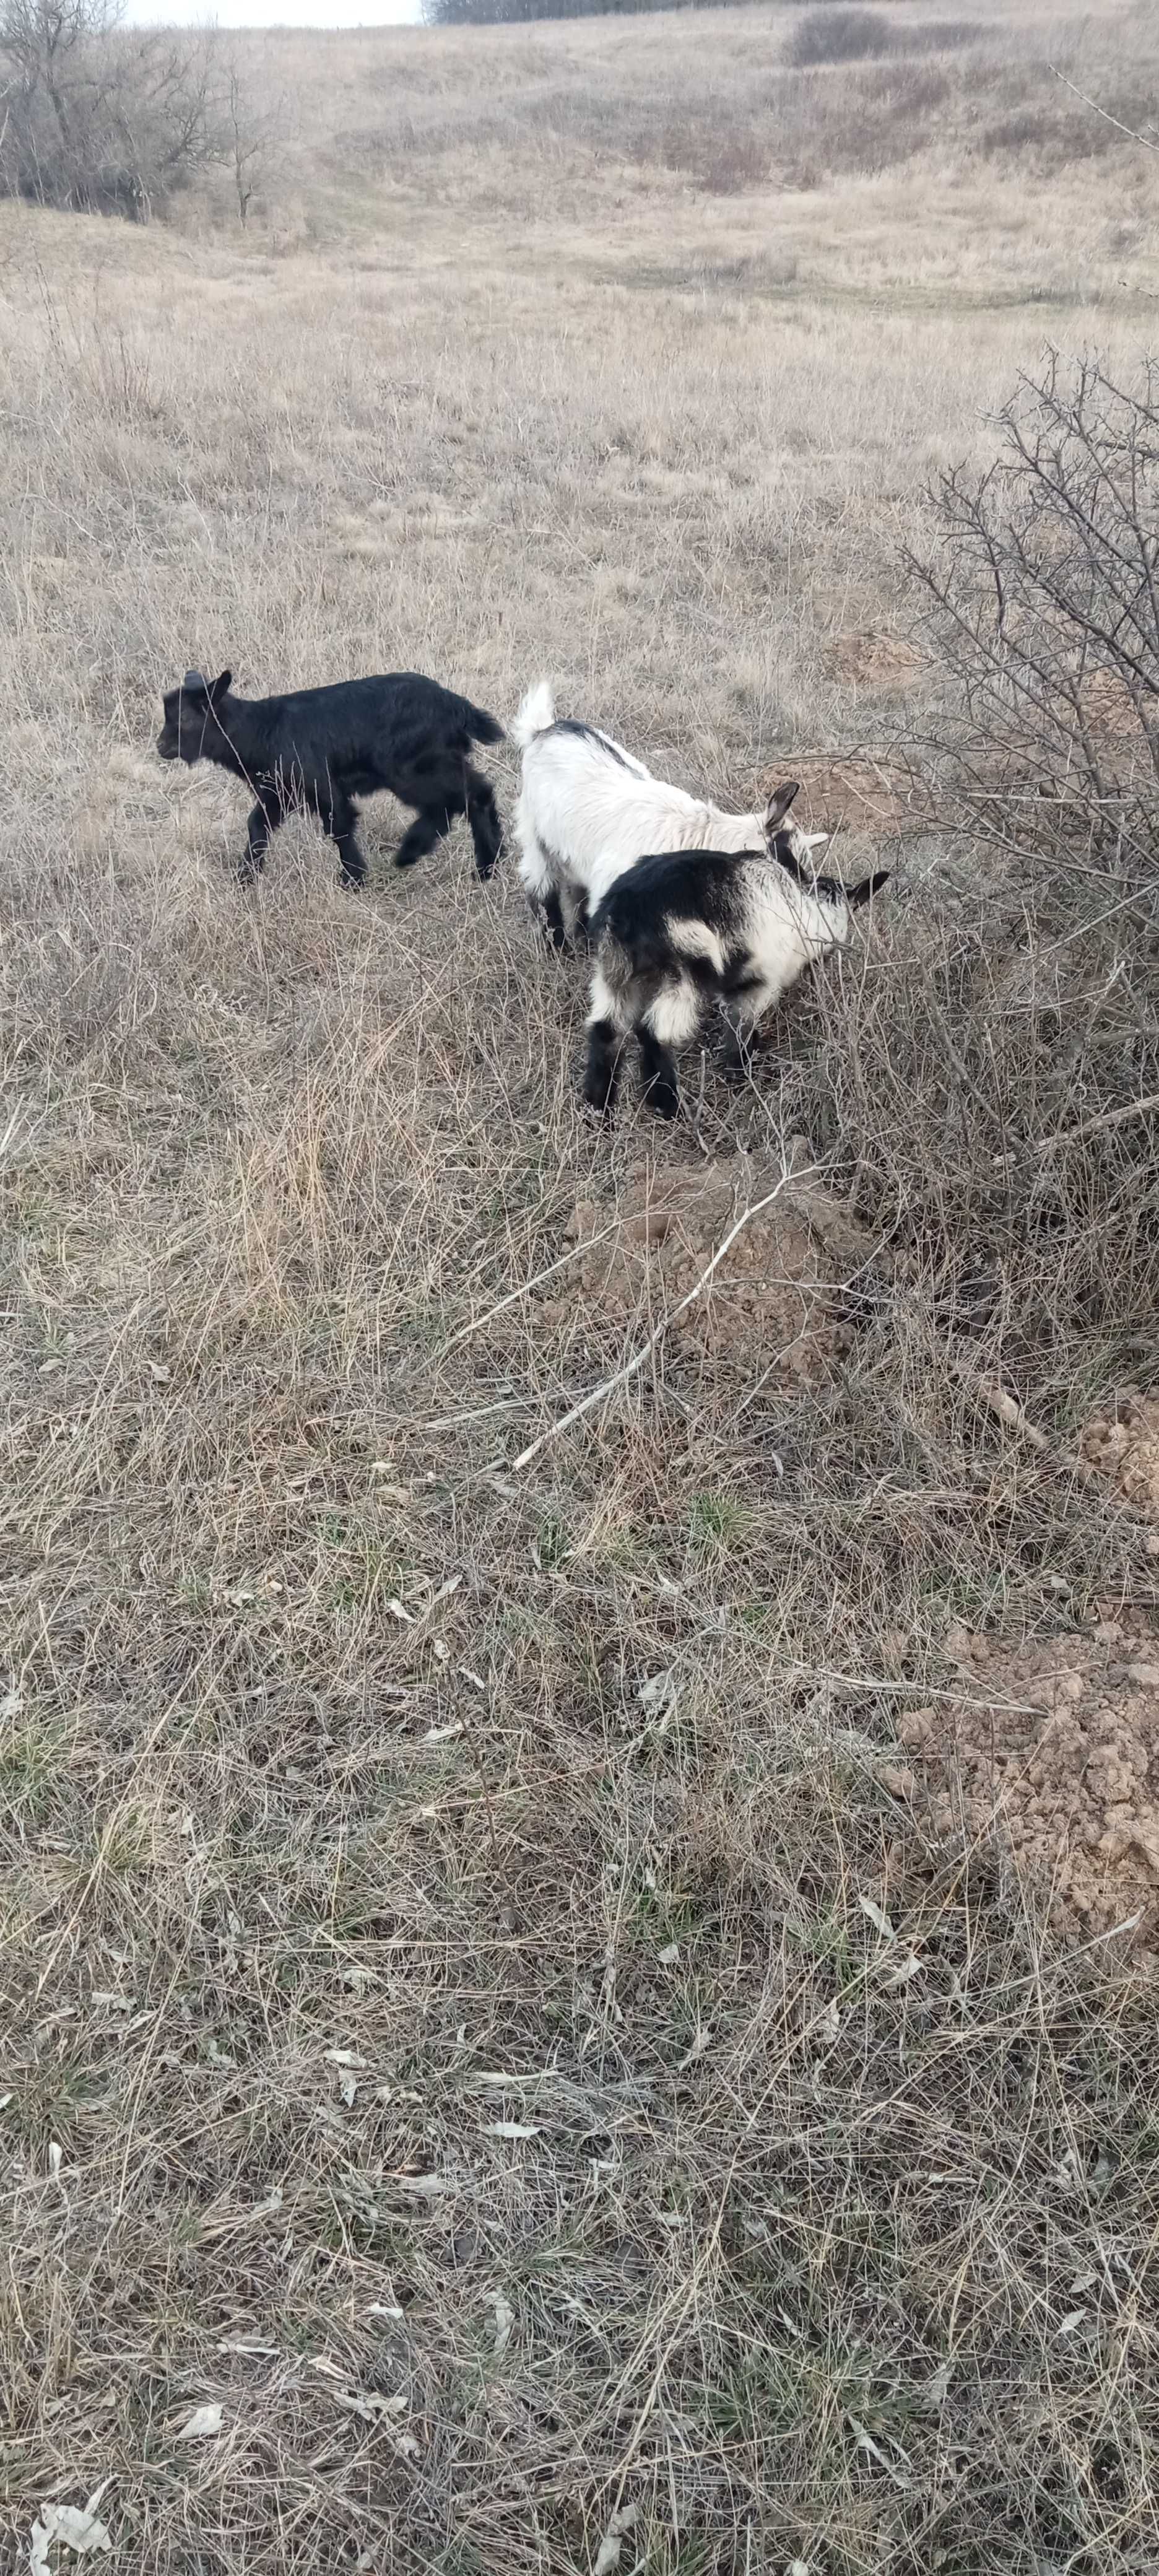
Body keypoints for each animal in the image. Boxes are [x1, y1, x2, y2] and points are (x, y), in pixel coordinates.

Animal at [584, 773, 891, 1118]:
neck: (805, 906)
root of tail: (625, 911)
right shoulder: (758, 985)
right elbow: (741, 1034)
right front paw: (742, 1077)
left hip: (616, 972)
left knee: (606, 1030)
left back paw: (600, 1110)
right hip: (687, 973)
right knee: (654, 1032)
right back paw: (670, 1106)